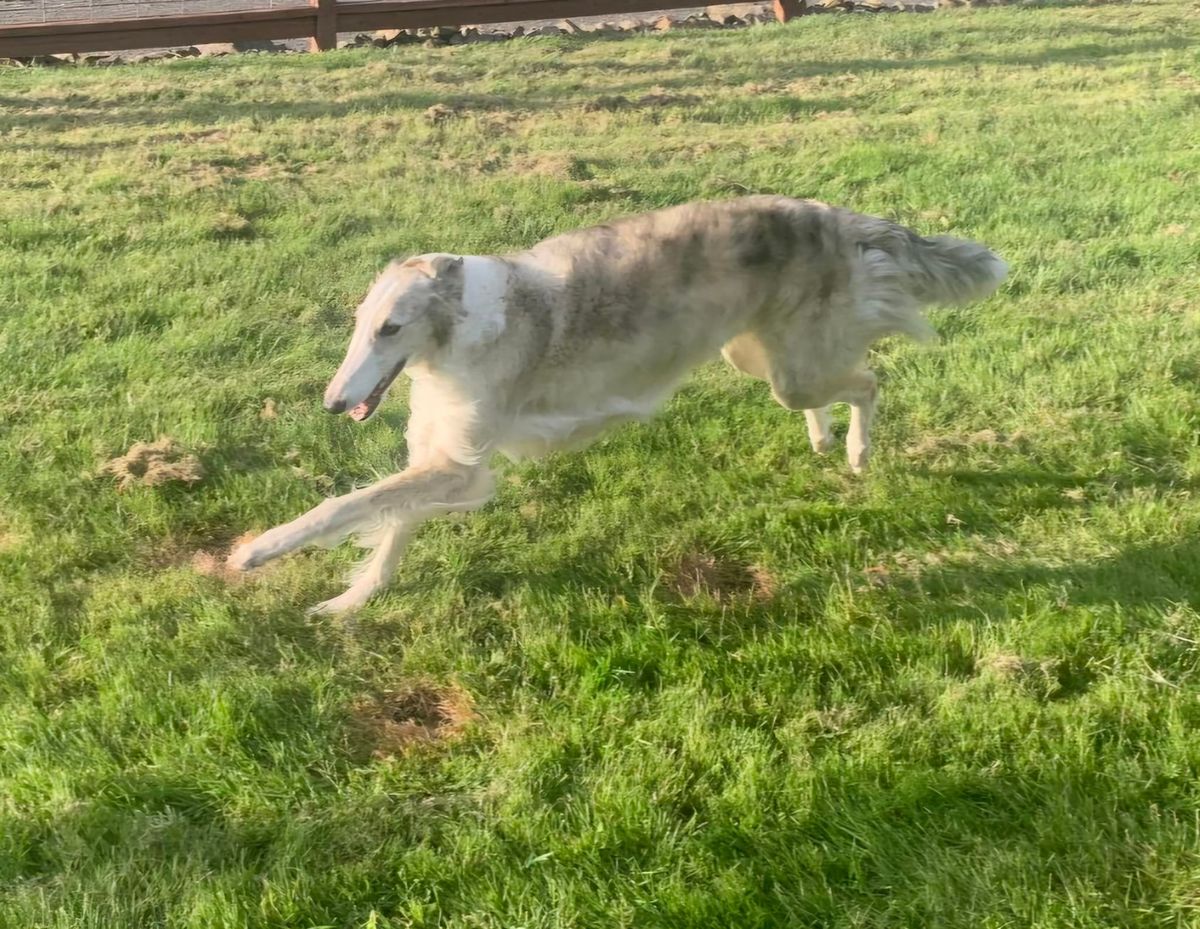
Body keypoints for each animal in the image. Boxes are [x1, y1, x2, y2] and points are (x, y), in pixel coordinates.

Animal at [225, 198, 1003, 612]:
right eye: (360, 324)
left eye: (390, 329)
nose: (334, 404)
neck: (462, 325)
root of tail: (836, 217)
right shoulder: (441, 460)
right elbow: (386, 530)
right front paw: (351, 603)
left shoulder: (462, 468)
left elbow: (344, 506)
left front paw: (255, 550)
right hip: (763, 361)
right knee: (836, 389)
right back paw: (822, 441)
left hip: (793, 368)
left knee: (868, 384)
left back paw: (857, 452)